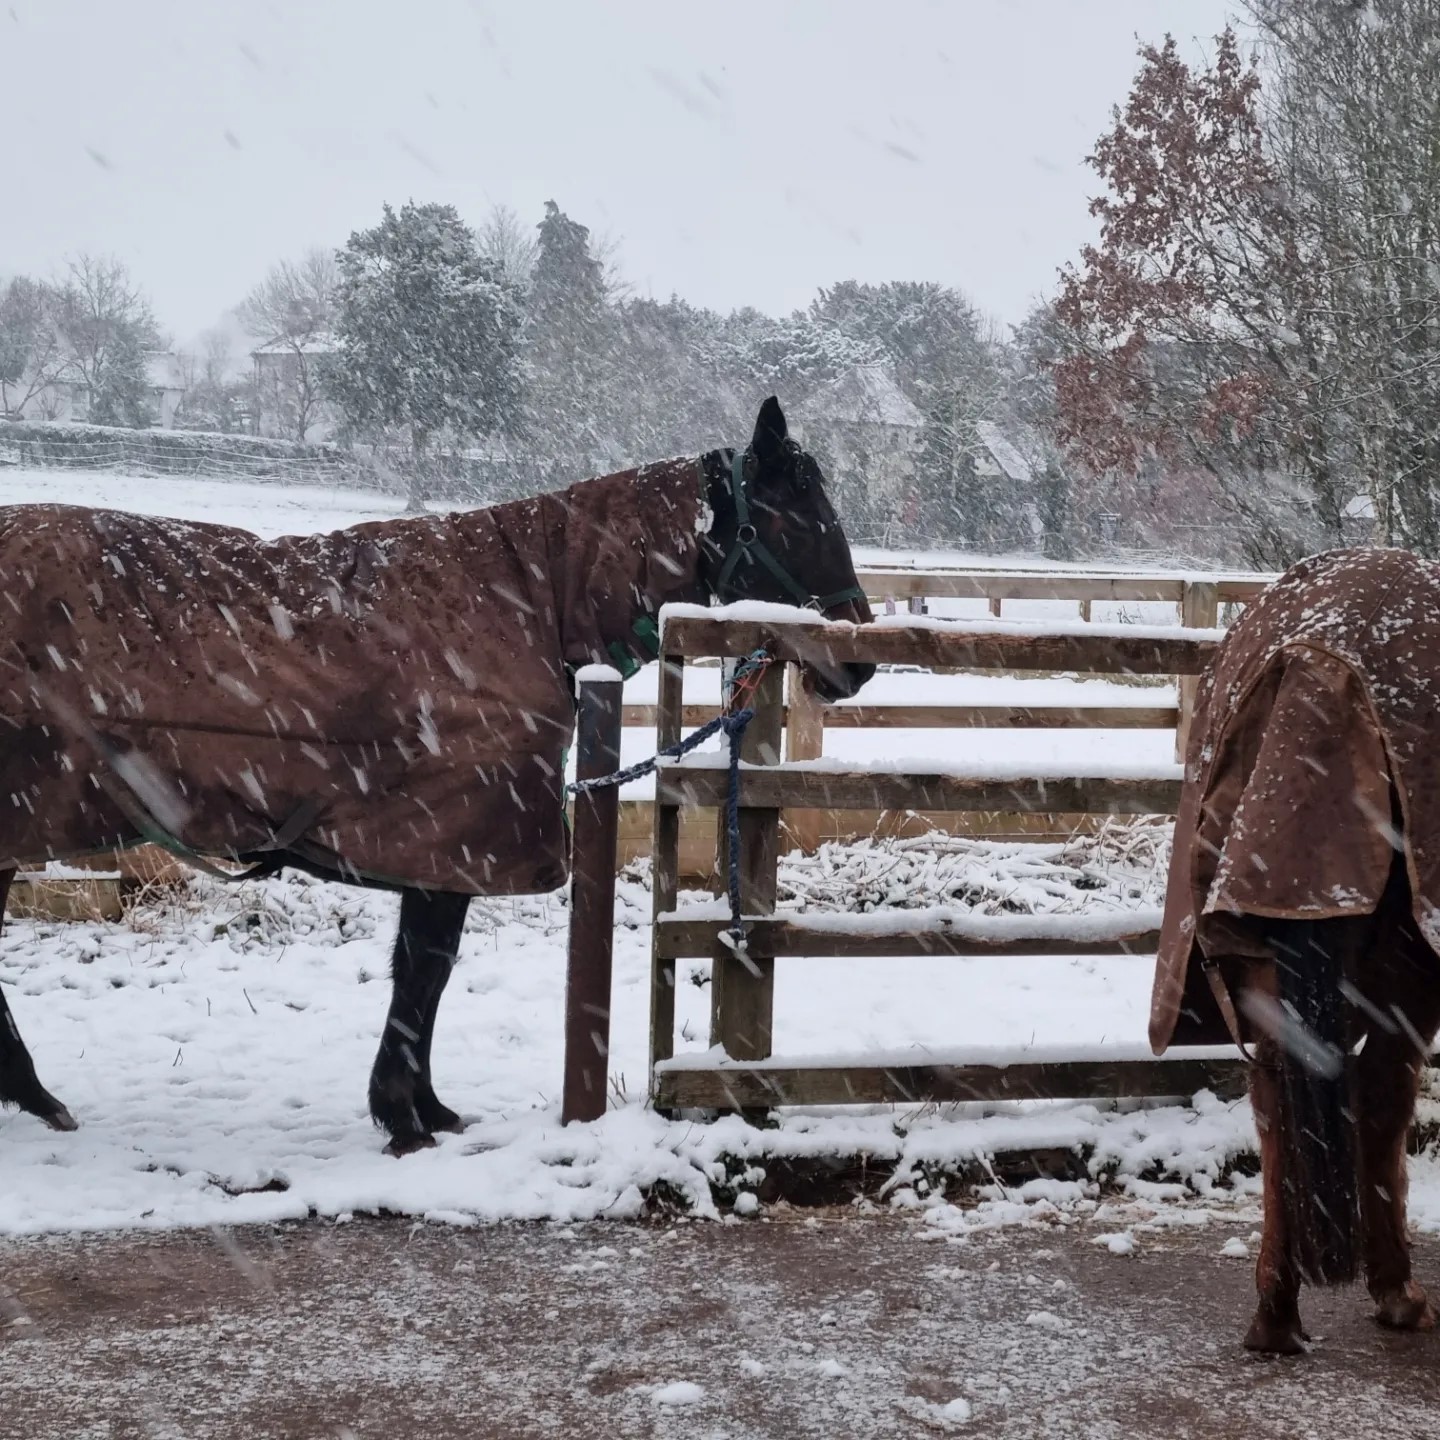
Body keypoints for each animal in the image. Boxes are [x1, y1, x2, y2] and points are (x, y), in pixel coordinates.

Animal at [0, 397, 869, 1157]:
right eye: (798, 512)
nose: (856, 657)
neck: (529, 601)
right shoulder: (447, 849)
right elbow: (423, 978)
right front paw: (405, 1116)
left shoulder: (440, 853)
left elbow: (421, 979)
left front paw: (423, 1108)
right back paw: (36, 1095)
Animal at [1152, 544, 1440, 1353]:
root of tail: (1317, 656)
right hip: (1410, 973)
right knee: (1382, 1098)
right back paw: (1396, 1292)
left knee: (1276, 1098)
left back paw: (1276, 1314)